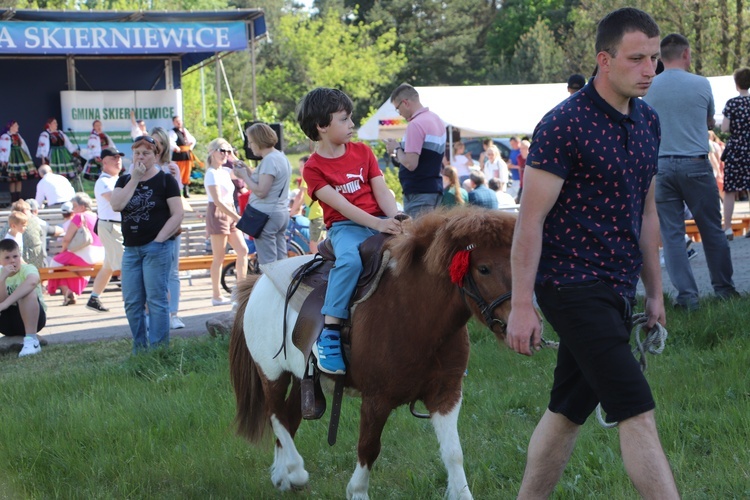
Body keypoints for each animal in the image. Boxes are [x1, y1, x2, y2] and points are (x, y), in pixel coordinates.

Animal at [231, 205, 516, 498]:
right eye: (483, 268)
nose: (518, 324)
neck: (413, 310)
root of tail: (258, 281)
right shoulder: (376, 399)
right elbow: (368, 448)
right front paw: (356, 490)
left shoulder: (446, 393)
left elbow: (453, 453)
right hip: (272, 374)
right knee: (276, 416)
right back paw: (295, 471)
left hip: (303, 380)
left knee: (288, 418)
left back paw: (282, 476)